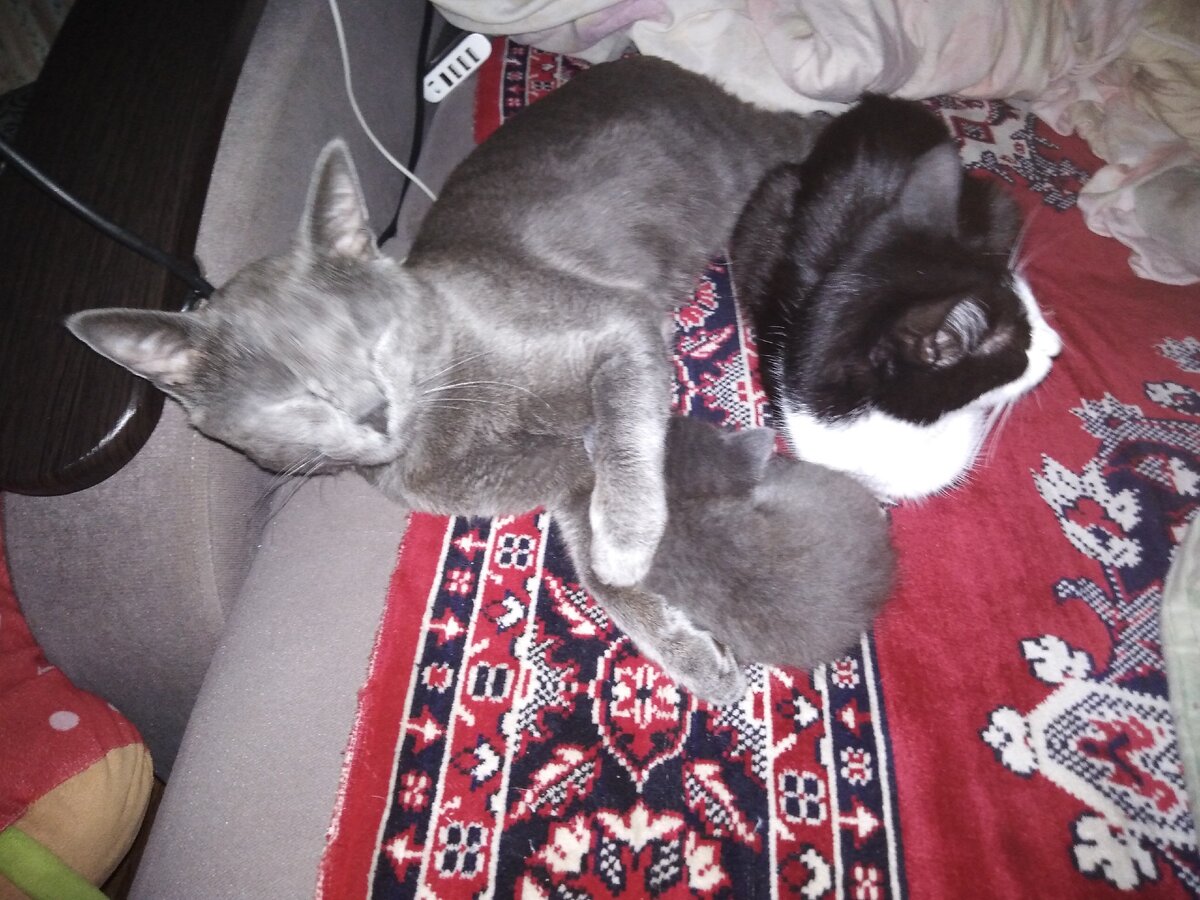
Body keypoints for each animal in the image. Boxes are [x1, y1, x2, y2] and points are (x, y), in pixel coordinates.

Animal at [65, 56, 879, 704]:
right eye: (294, 393)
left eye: (372, 335)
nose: (372, 409)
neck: (449, 425)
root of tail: (635, 60)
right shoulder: (563, 478)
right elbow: (597, 571)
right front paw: (691, 651)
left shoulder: (619, 332)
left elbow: (623, 441)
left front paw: (627, 536)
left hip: (745, 150)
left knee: (805, 124)